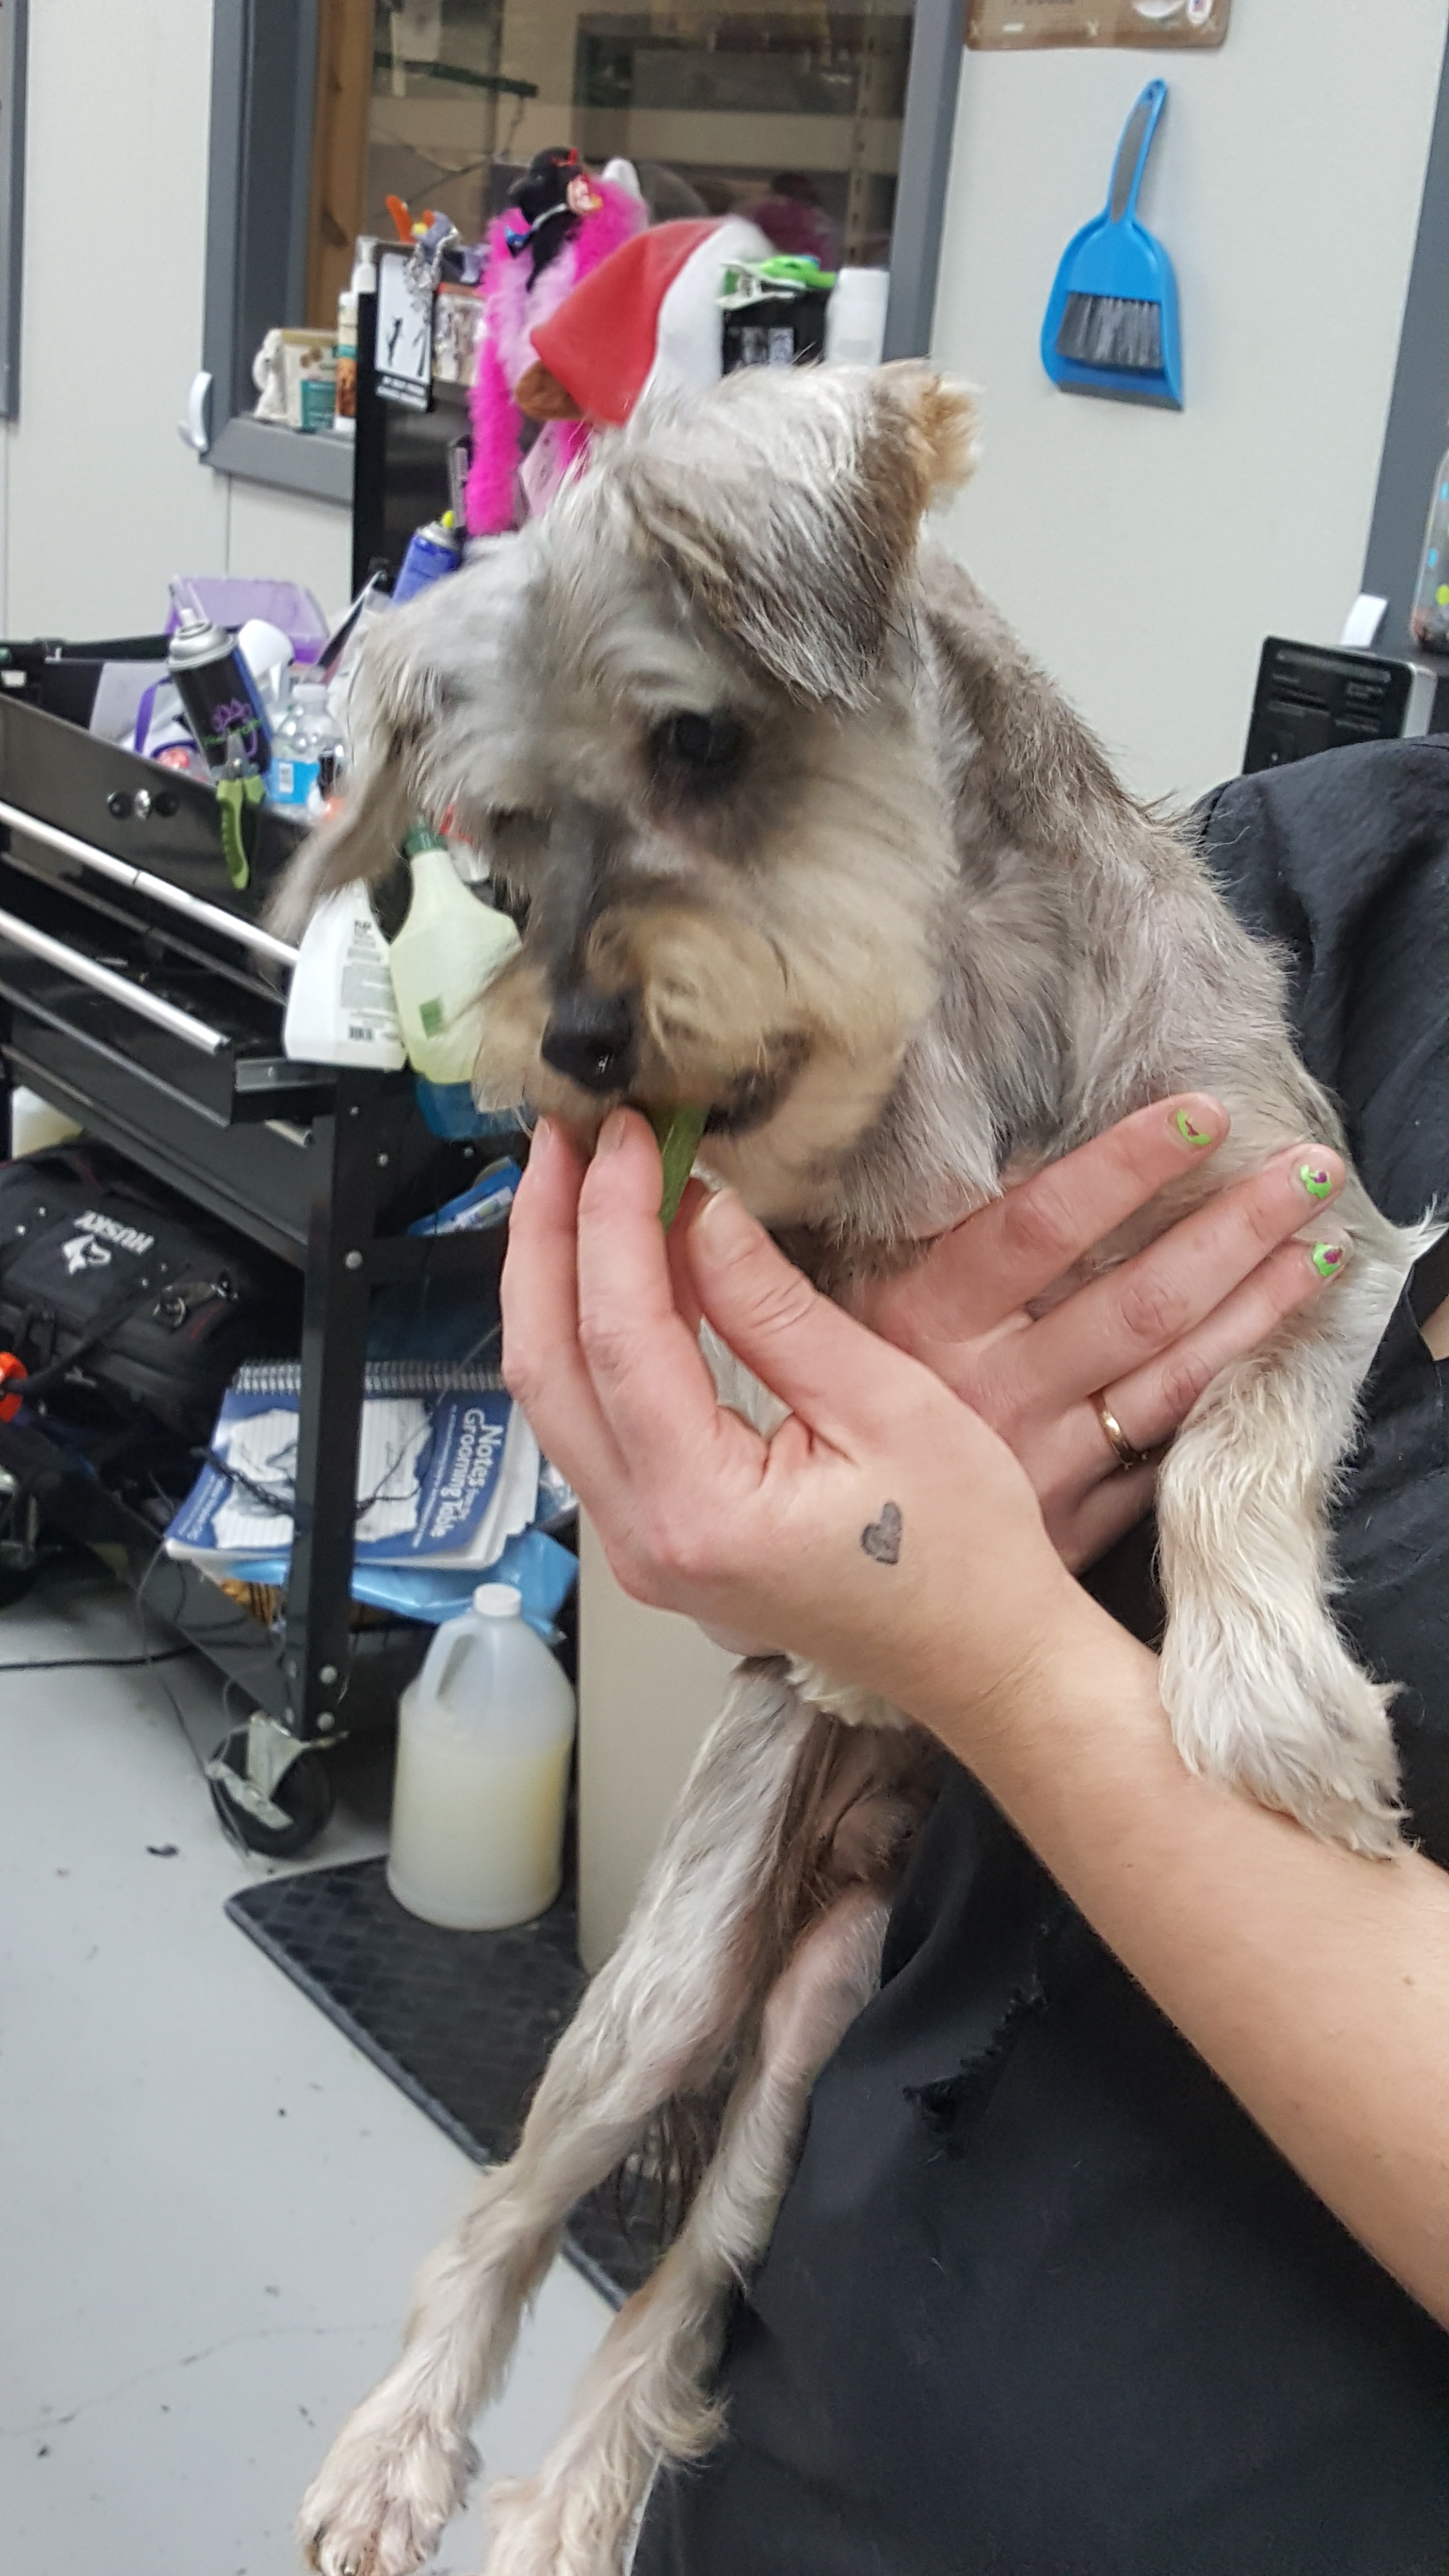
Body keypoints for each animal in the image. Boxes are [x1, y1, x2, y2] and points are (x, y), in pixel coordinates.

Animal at [275, 363, 1423, 2576]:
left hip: (808, 2017)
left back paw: (571, 2501)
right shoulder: (814, 1265)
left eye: (700, 740)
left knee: (695, 2268)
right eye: (501, 844)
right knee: (514, 2208)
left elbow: (1226, 1469)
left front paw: (1266, 1707)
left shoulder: (1304, 1231)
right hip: (663, 1982)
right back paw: (396, 2451)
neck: (969, 992)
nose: (577, 1045)